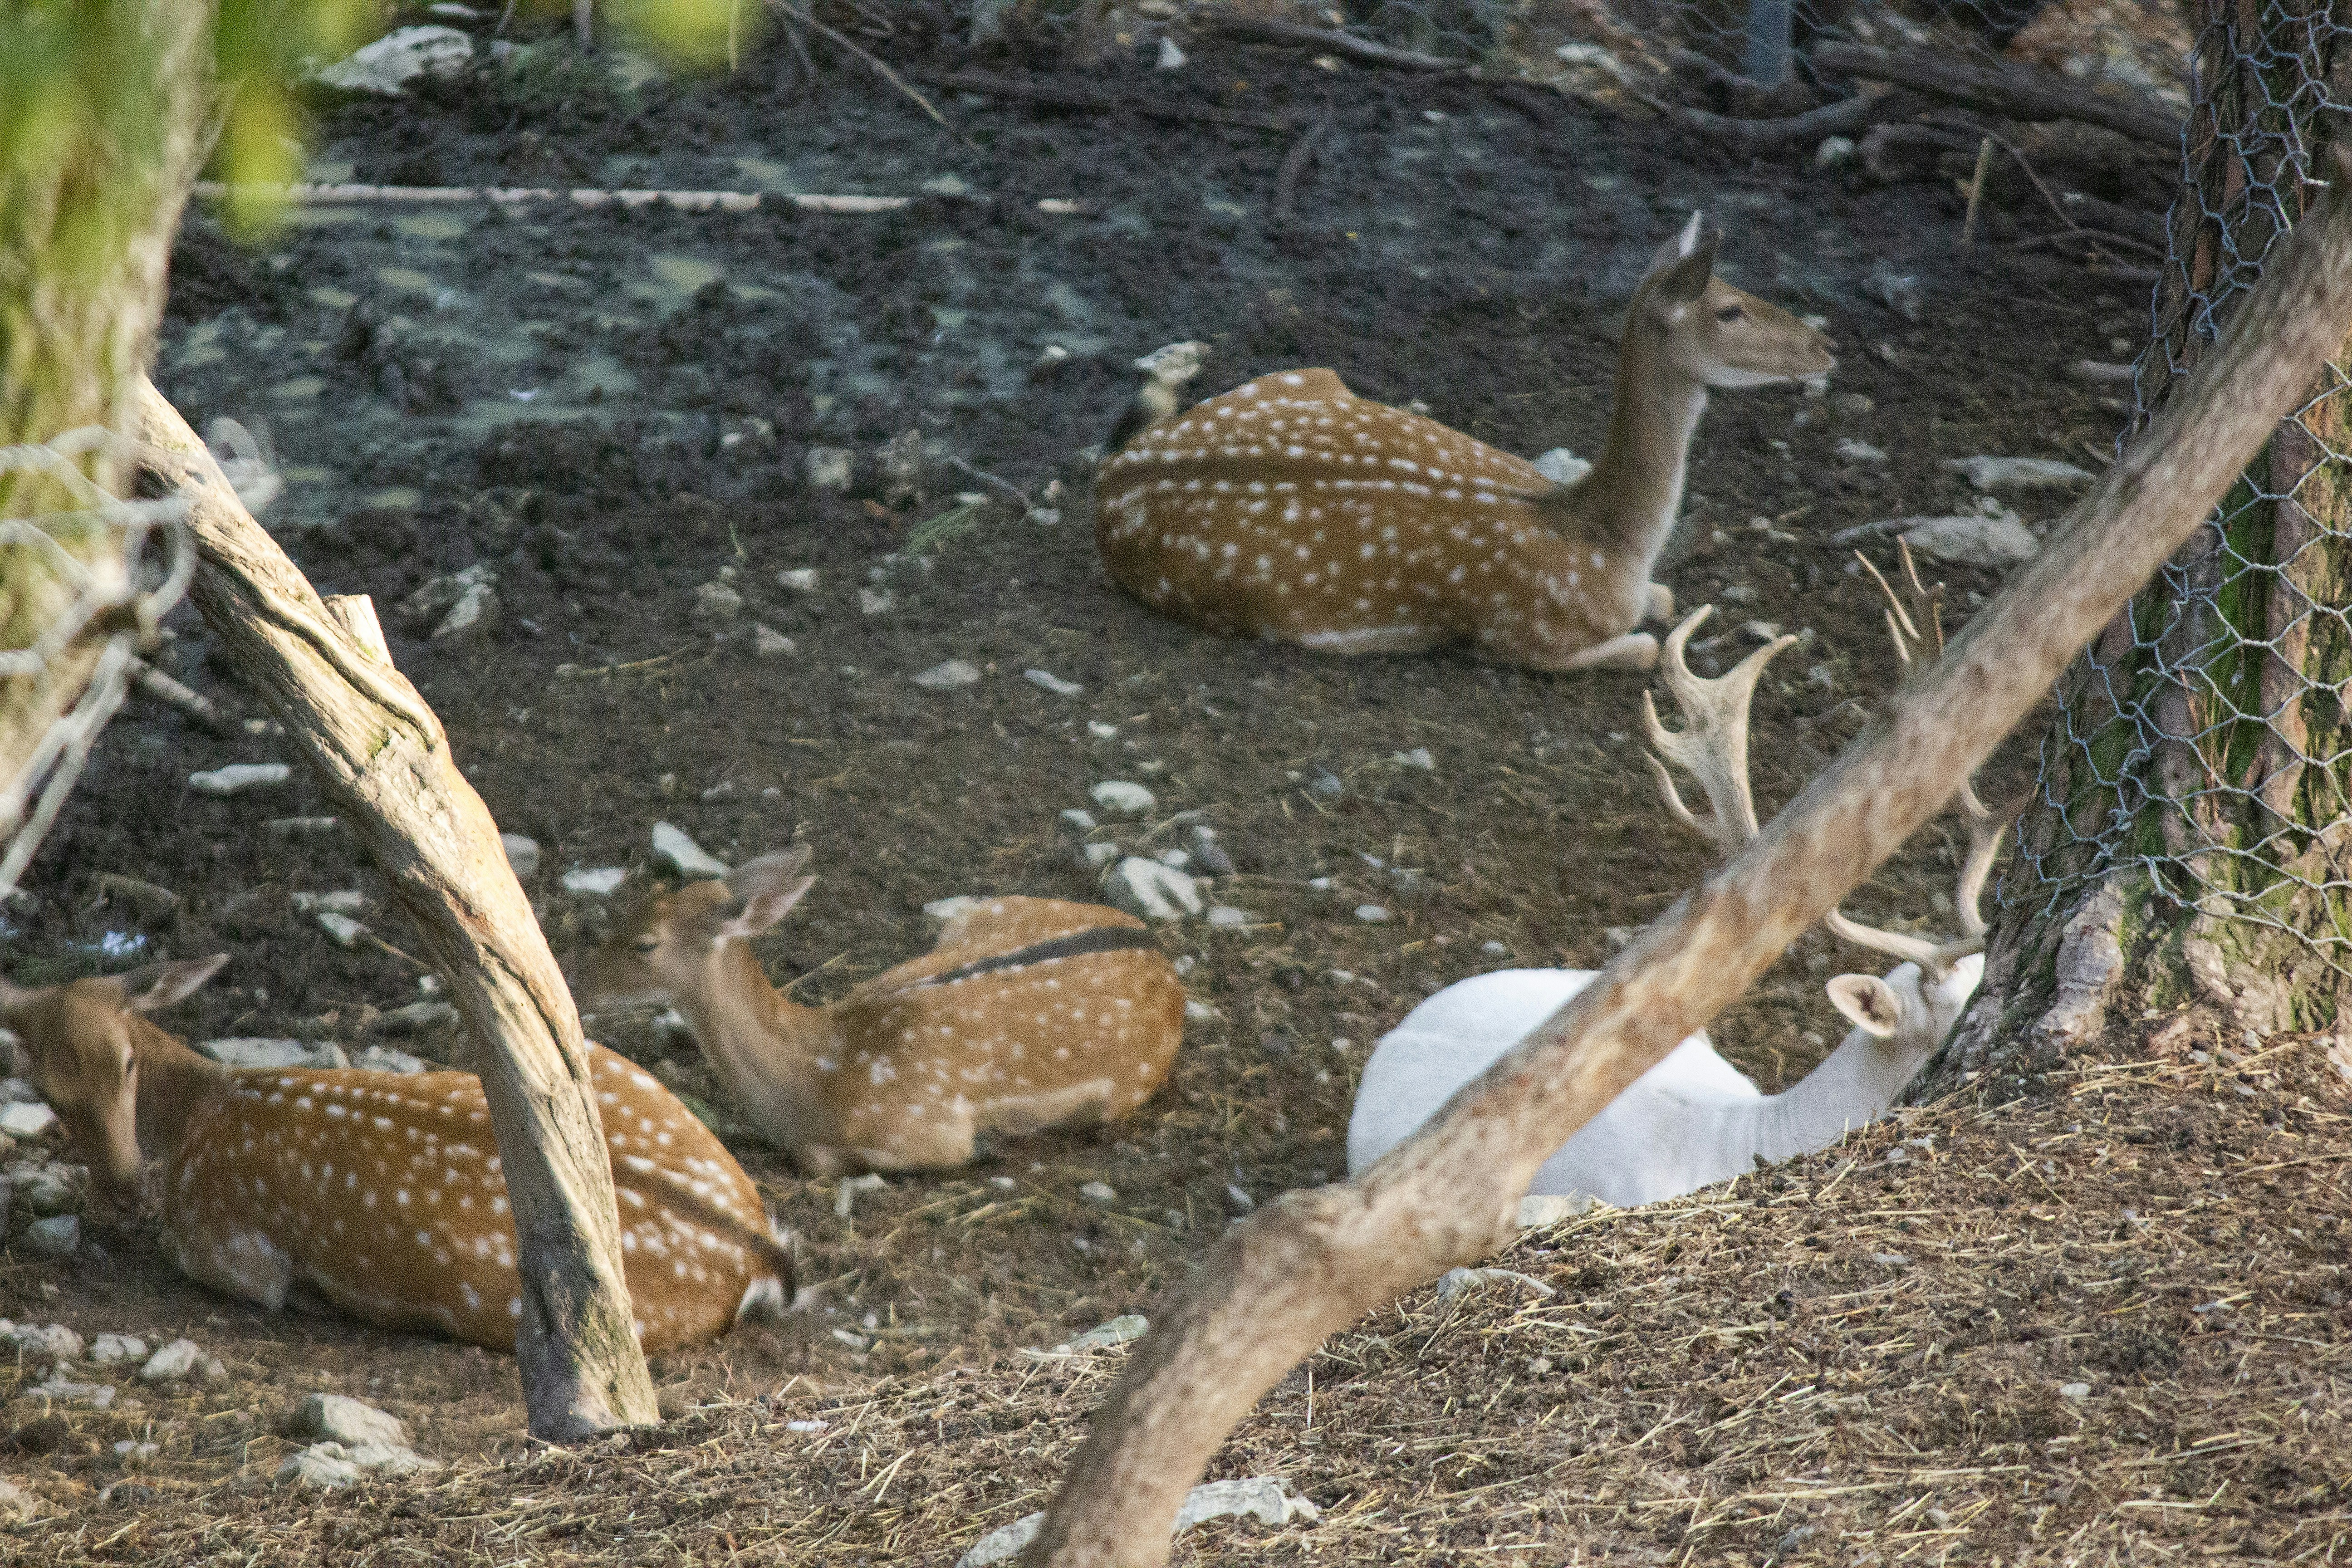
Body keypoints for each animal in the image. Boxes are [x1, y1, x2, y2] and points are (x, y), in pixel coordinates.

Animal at [0, 955, 794, 1354]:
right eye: (45, 1087)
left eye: (127, 1063)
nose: (125, 1183)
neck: (205, 1106)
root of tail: (762, 1249)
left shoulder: (231, 1252)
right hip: (611, 1066)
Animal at [576, 847, 1187, 1177]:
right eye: (630, 907)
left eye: (645, 944)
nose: (578, 985)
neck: (820, 1078)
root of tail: (1163, 956)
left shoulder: (930, 1128)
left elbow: (817, 1158)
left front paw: (990, 1147)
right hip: (980, 912)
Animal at [1093, 211, 1834, 673]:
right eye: (1728, 309)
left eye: (1739, 289)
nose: (1826, 345)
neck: (1606, 543)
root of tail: (1111, 483)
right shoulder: (1522, 638)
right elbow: (1649, 646)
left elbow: (1670, 600)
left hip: (1311, 372)